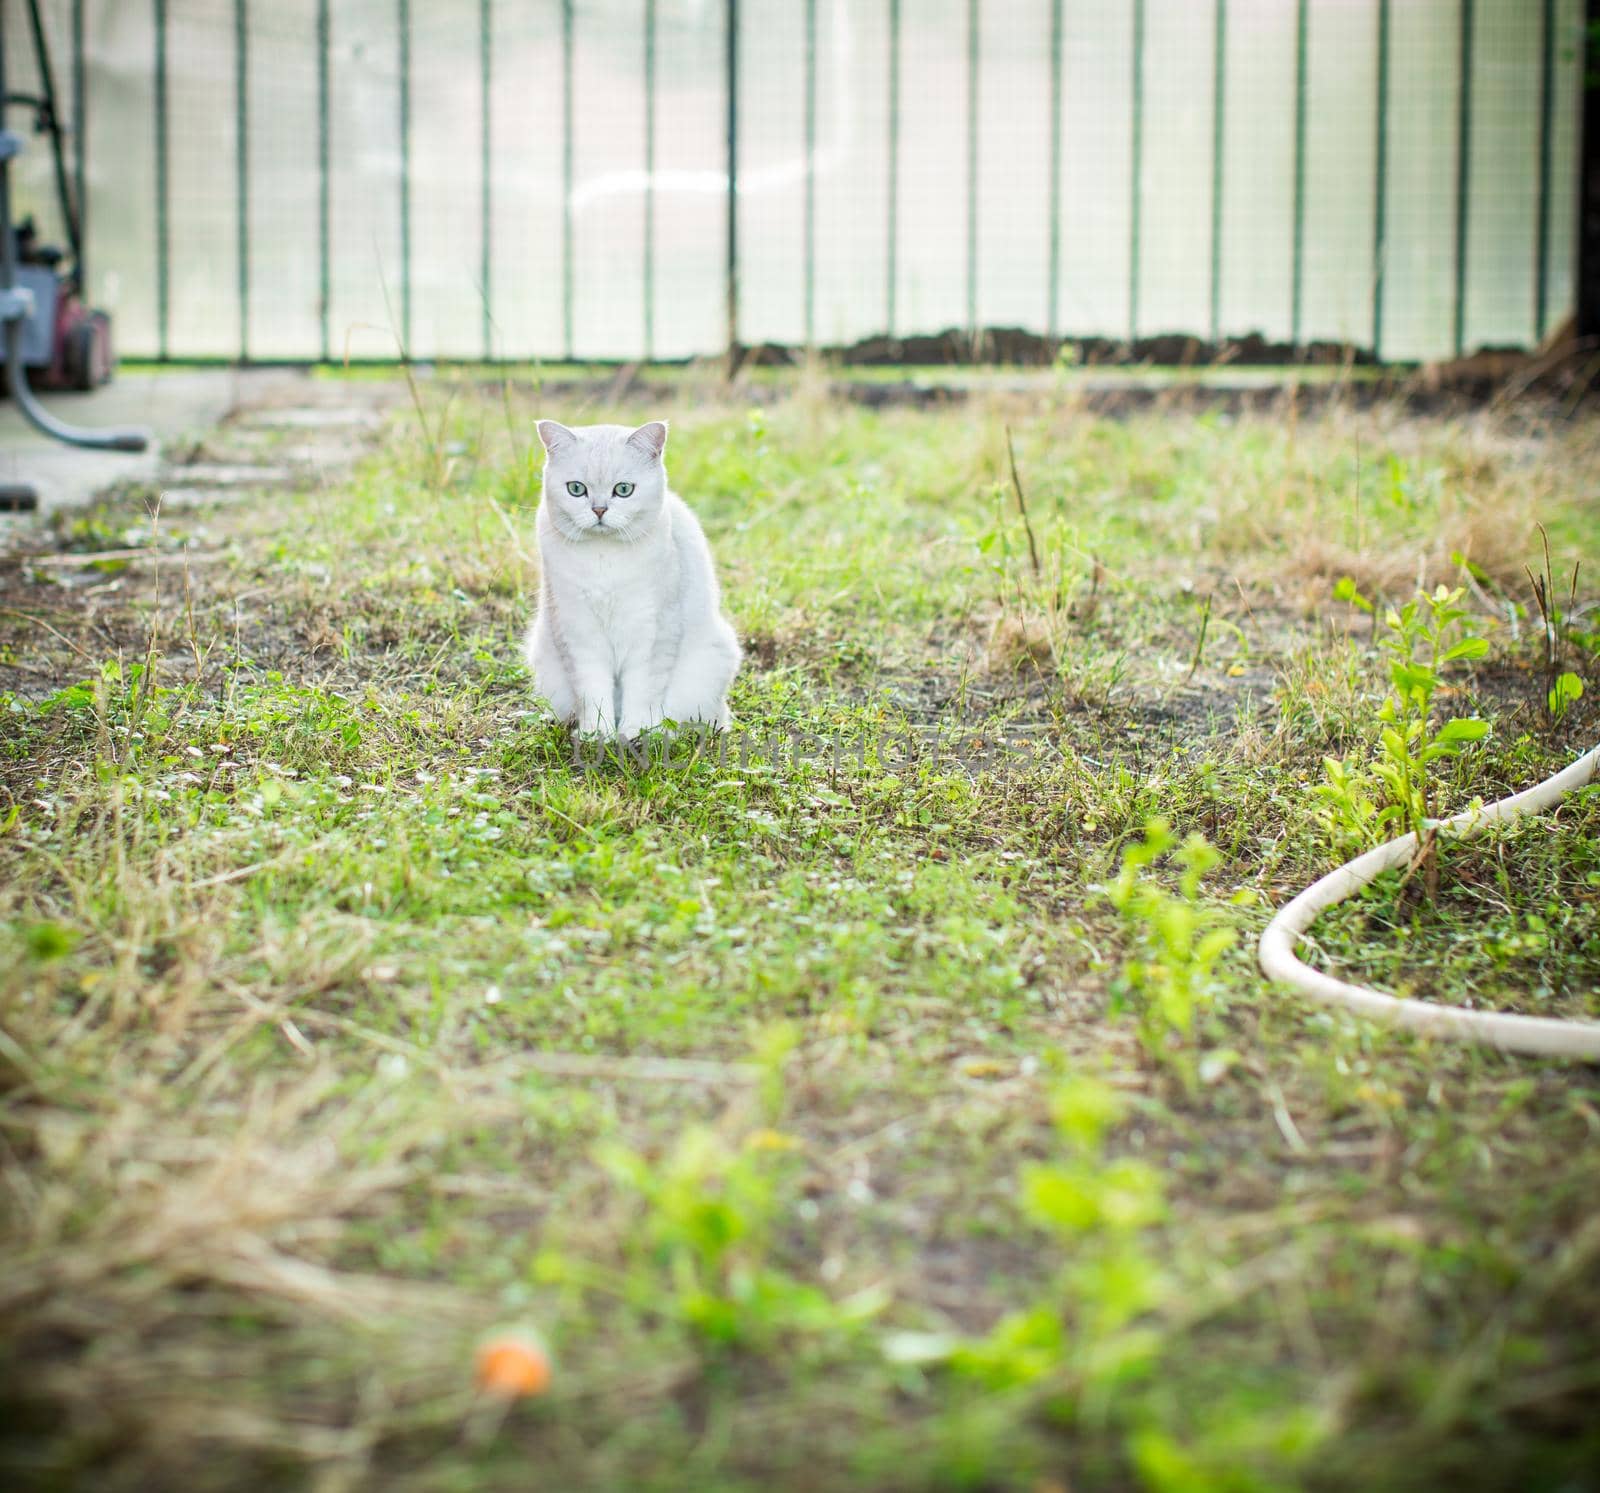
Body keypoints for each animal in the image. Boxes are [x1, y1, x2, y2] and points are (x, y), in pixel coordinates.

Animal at [531, 416, 742, 736]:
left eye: (624, 490)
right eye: (577, 489)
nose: (599, 510)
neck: (604, 560)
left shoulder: (652, 632)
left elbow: (642, 691)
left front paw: (636, 731)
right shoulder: (577, 634)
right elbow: (593, 692)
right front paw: (597, 733)